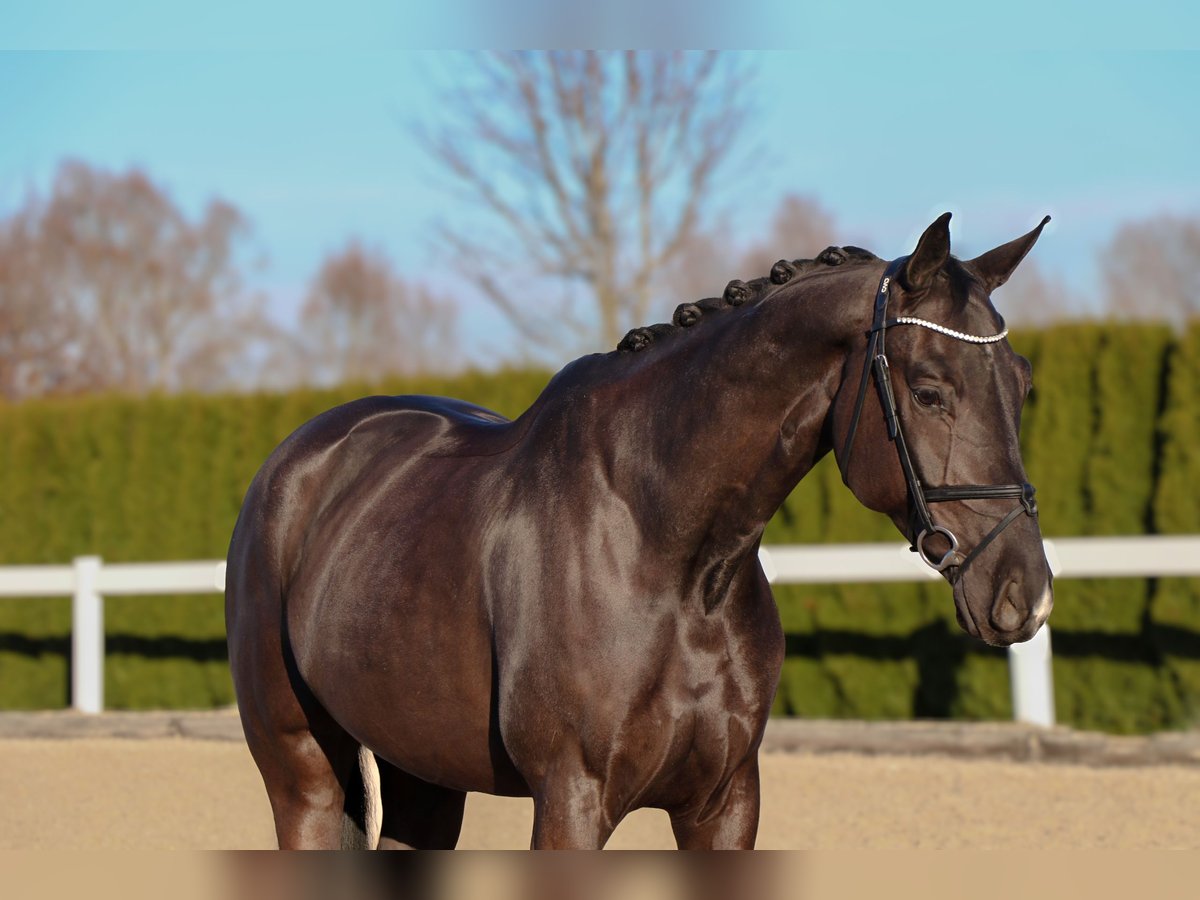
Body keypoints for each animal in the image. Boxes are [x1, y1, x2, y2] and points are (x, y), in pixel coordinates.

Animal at [225, 214, 1051, 849]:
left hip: (422, 775)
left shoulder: (726, 803)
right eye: (931, 390)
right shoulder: (572, 801)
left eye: (1022, 383)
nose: (1025, 595)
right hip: (301, 772)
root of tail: (297, 460)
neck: (667, 553)